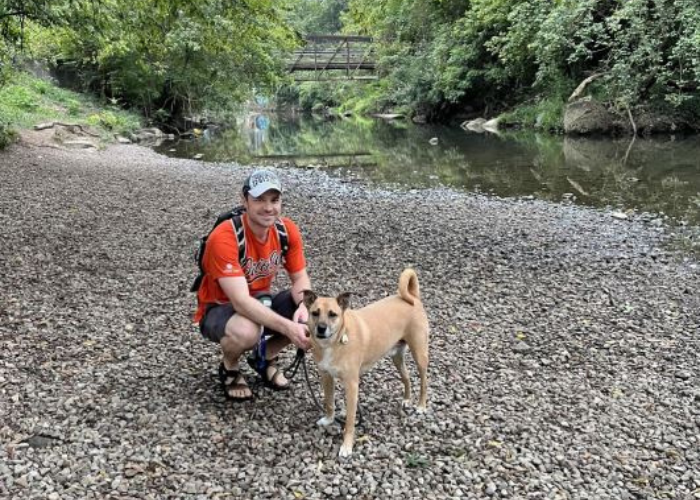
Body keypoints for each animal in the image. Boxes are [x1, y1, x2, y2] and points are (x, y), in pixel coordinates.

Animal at [302, 270, 430, 458]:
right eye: (315, 313)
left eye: (333, 314)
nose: (321, 328)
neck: (335, 342)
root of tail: (413, 296)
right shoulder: (326, 377)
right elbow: (329, 402)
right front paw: (329, 419)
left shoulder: (351, 385)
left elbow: (349, 421)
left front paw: (347, 446)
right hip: (397, 357)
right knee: (406, 378)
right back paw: (407, 399)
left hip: (419, 354)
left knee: (423, 382)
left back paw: (421, 406)